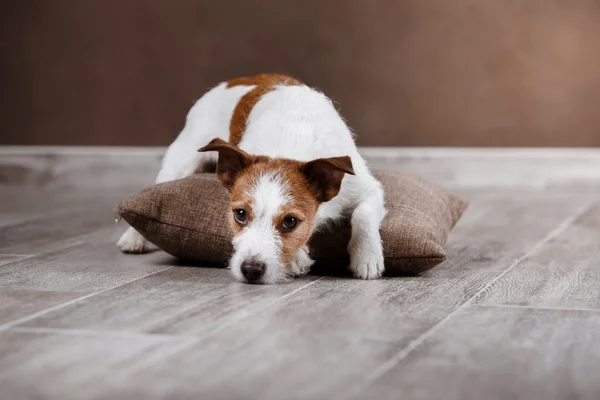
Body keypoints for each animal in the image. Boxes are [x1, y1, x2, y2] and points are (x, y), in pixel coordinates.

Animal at [117, 74, 384, 284]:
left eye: (290, 221)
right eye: (241, 214)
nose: (251, 270)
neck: (290, 142)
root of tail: (238, 79)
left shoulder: (368, 188)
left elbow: (364, 214)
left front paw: (367, 256)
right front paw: (298, 258)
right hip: (181, 161)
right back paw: (134, 237)